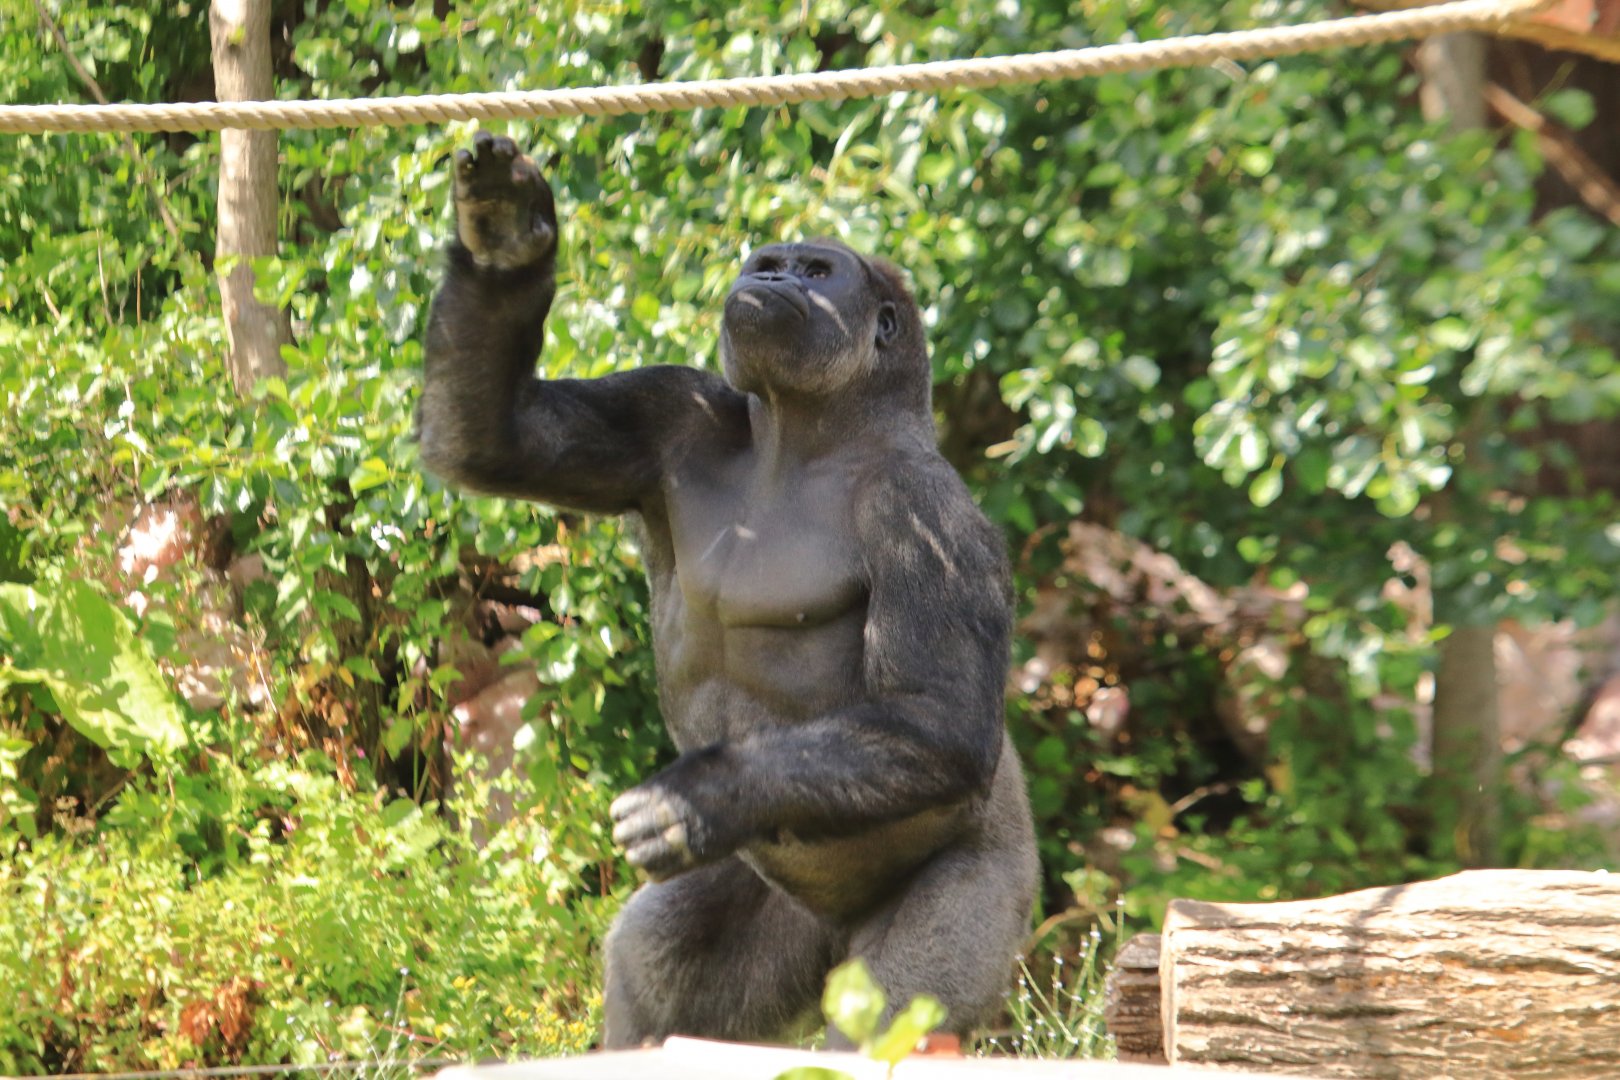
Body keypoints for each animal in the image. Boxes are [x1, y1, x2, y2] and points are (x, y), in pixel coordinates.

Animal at [418, 130, 1038, 1049]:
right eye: (771, 262)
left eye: (816, 271)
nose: (771, 282)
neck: (809, 436)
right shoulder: (677, 408)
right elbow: (496, 438)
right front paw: (506, 236)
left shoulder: (927, 513)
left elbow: (939, 720)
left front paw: (703, 795)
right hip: (778, 904)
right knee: (655, 963)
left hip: (991, 881)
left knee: (895, 1015)